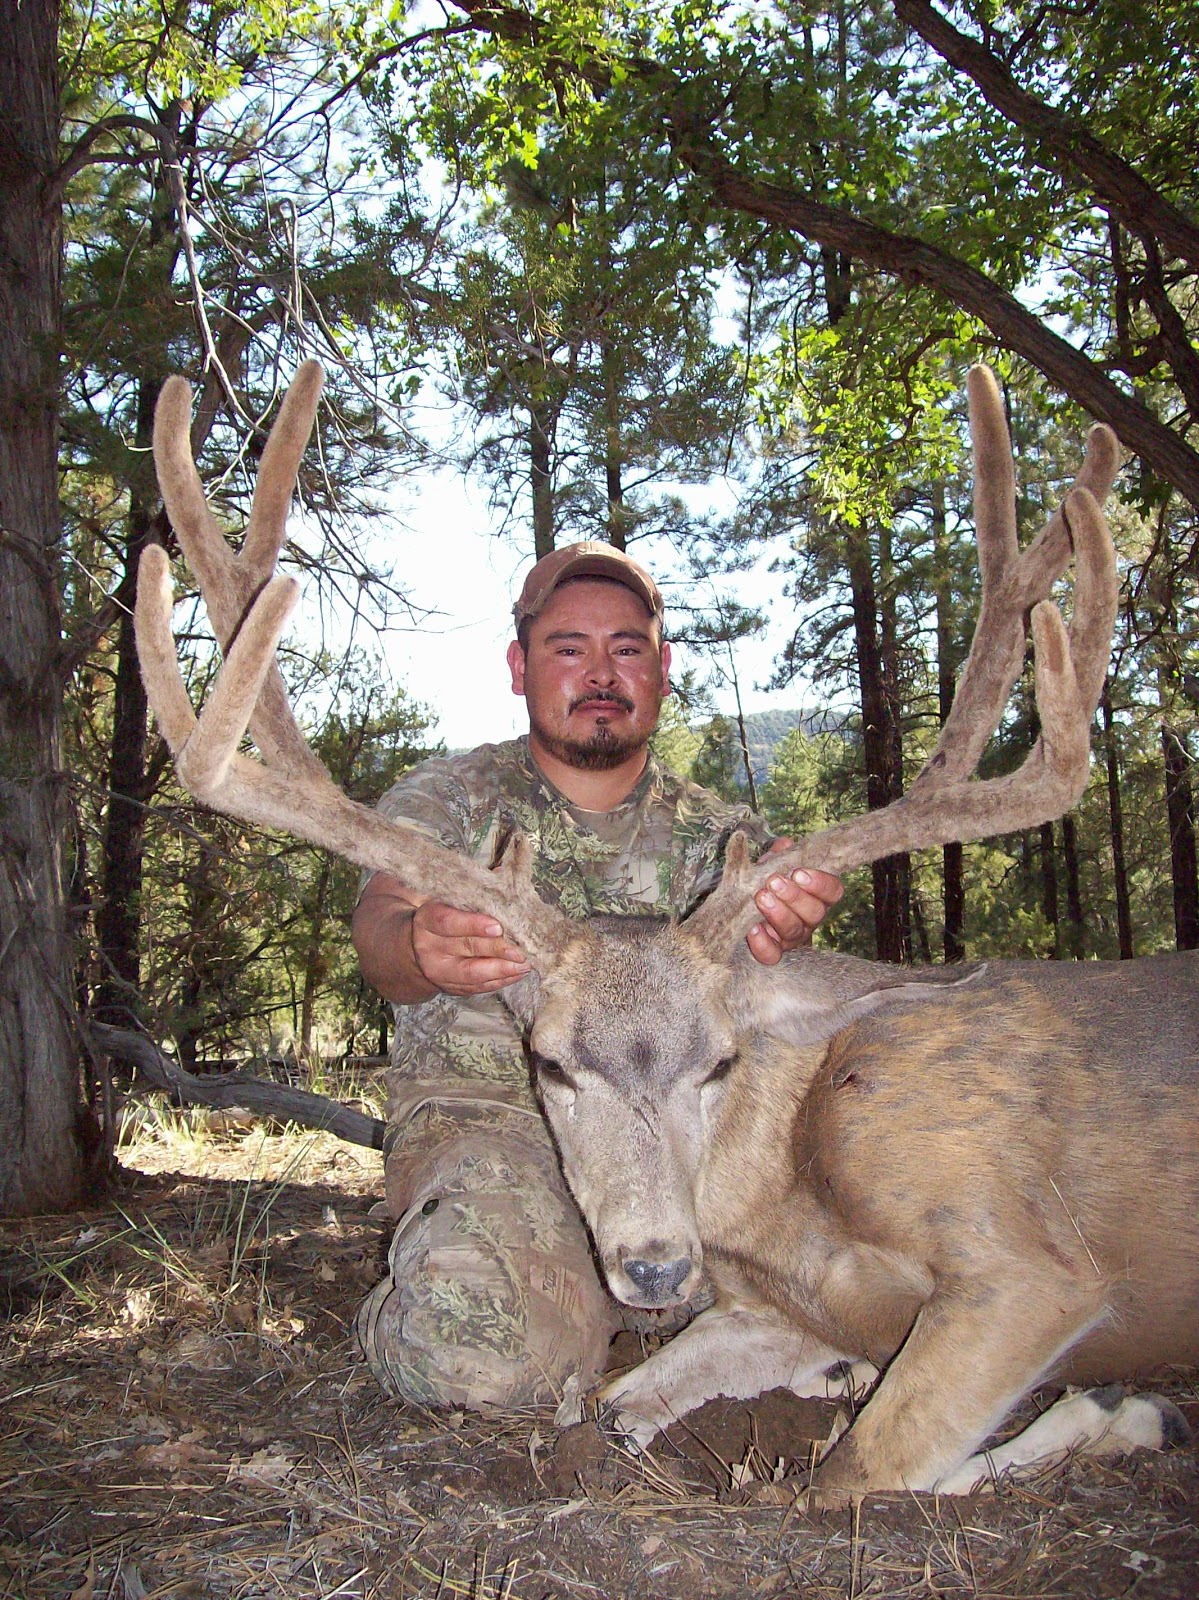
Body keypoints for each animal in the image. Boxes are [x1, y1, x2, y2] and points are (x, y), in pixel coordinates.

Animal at [136, 360, 1198, 1499]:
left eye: (720, 1061)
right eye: (549, 1065)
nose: (653, 1265)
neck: (787, 1196)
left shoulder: (1031, 1267)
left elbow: (850, 1475)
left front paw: (1119, 1411)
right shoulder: (768, 1305)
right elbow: (604, 1405)